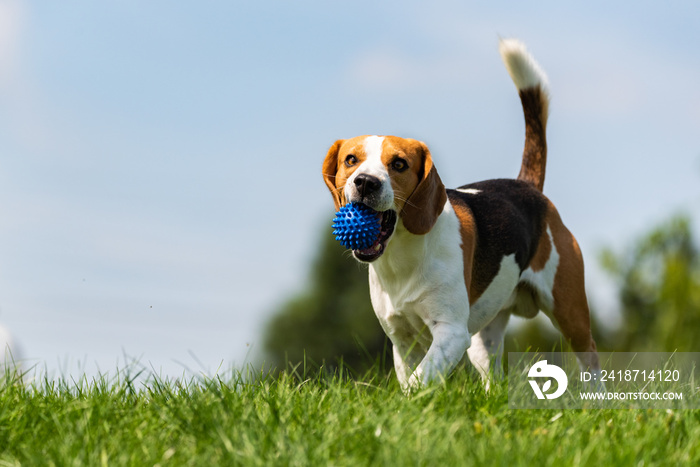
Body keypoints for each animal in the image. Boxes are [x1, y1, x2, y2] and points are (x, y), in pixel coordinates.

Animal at [322, 39, 600, 392]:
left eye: (399, 164)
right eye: (351, 160)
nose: (366, 182)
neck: (402, 258)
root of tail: (526, 186)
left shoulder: (452, 333)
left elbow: (420, 378)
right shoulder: (402, 341)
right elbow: (411, 376)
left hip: (569, 310)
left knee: (590, 357)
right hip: (485, 339)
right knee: (493, 373)